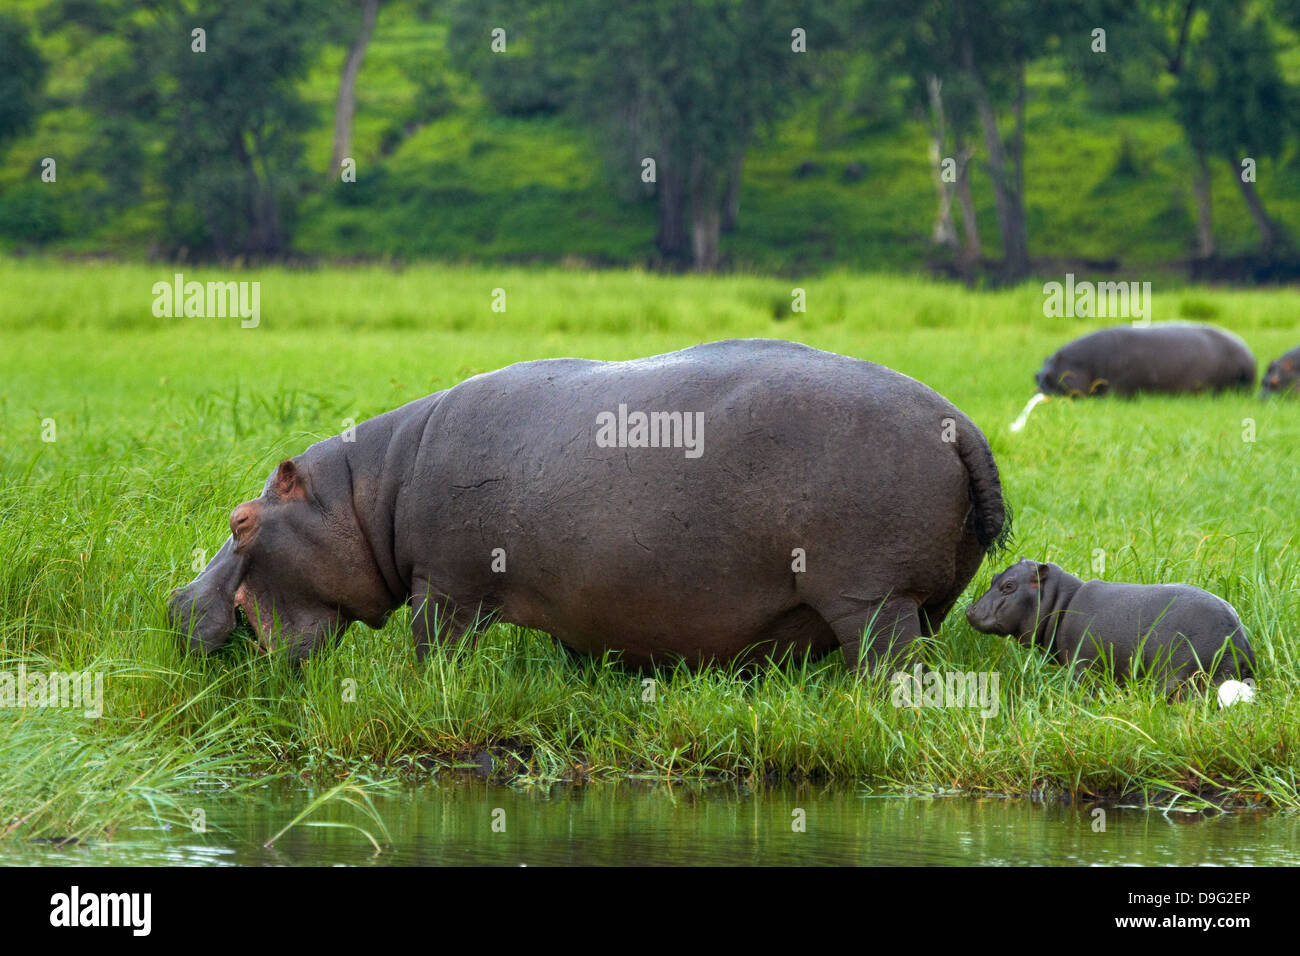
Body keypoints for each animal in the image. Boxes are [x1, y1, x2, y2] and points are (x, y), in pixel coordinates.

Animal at [167, 335, 1008, 671]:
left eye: (241, 521)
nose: (173, 603)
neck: (366, 493)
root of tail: (962, 423)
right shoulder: (585, 596)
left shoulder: (446, 584)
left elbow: (432, 649)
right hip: (925, 599)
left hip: (871, 595)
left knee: (884, 661)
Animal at [967, 556, 1248, 691]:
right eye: (994, 576)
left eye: (1009, 586)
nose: (969, 610)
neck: (1060, 600)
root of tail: (1235, 642)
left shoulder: (1081, 667)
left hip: (1176, 673)